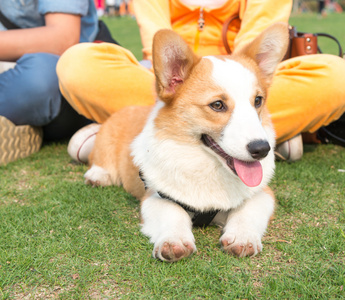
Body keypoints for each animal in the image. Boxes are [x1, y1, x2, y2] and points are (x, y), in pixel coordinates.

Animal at [83, 23, 288, 262]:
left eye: (258, 101)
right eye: (217, 105)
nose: (262, 149)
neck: (209, 167)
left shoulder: (263, 194)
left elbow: (247, 211)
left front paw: (243, 237)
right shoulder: (156, 197)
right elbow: (174, 213)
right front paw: (174, 241)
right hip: (104, 141)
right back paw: (98, 175)